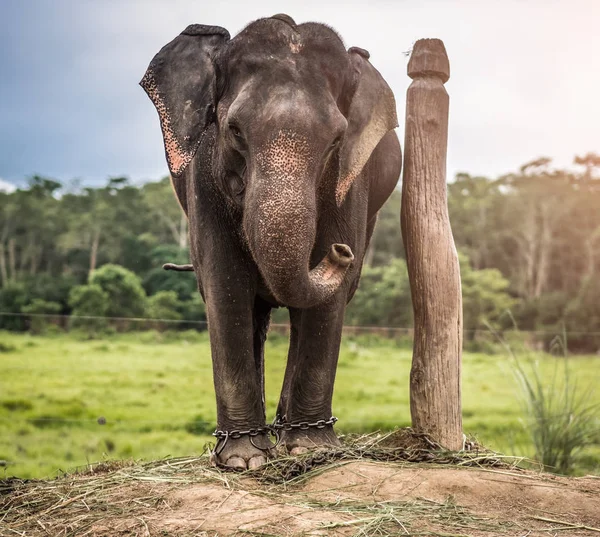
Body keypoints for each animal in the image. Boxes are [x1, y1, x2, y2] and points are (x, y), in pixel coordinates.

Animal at [141, 13, 400, 468]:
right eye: (234, 130)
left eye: (337, 140)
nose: (341, 253)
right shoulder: (204, 177)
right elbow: (225, 285)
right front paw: (244, 461)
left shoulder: (350, 184)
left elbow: (328, 305)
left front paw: (311, 451)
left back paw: (285, 431)